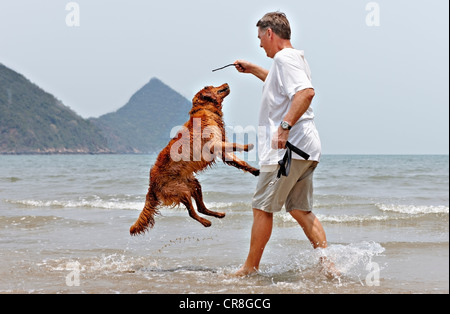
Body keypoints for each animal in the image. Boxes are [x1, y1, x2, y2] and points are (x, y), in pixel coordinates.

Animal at [129, 83, 260, 236]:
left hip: (193, 184)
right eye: (211, 86)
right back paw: (206, 222)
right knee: (192, 212)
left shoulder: (220, 148)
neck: (206, 110)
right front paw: (247, 146)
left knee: (200, 207)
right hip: (181, 191)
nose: (226, 84)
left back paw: (218, 214)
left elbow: (239, 161)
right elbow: (234, 144)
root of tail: (151, 184)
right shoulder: (214, 143)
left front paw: (255, 170)